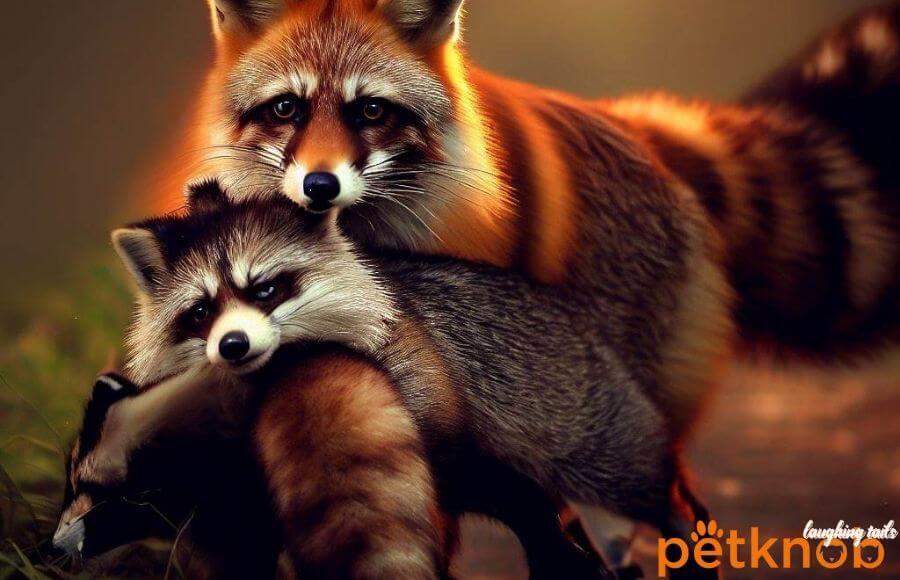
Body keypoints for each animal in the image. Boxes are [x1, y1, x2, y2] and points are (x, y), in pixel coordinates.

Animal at [59, 180, 713, 578]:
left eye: (265, 289)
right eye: (199, 312)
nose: (233, 345)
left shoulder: (418, 398)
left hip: (576, 414)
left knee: (629, 479)